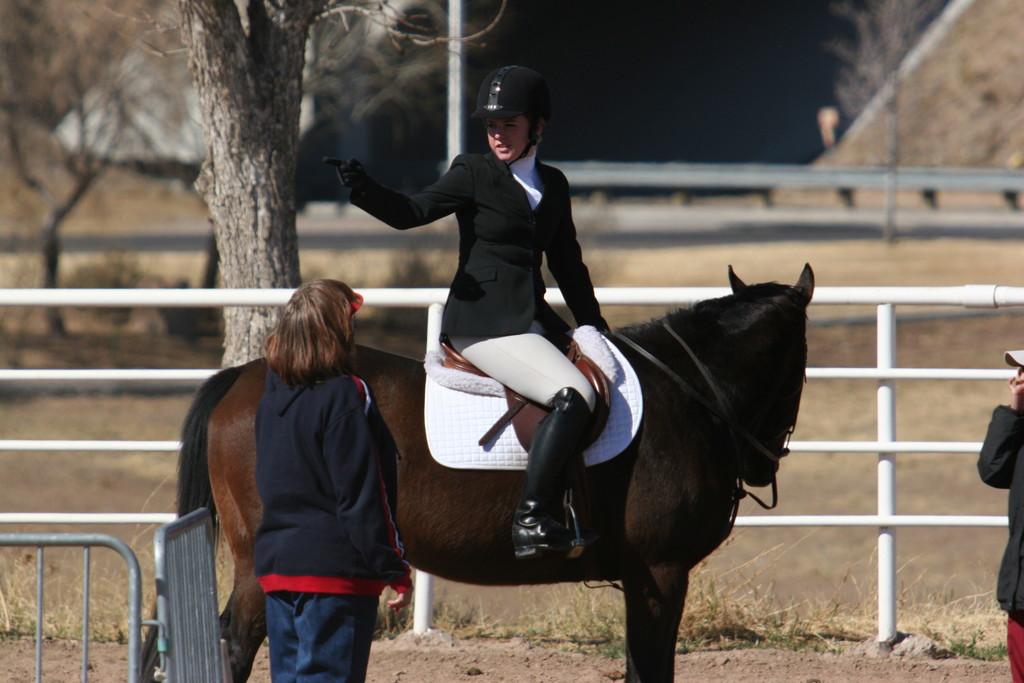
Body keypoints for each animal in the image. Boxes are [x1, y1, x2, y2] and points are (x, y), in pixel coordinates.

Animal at [148, 264, 811, 679]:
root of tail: (252, 373)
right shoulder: (660, 575)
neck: (684, 394)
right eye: (802, 363)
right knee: (236, 642)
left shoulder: (647, 580)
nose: (763, 463)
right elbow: (649, 670)